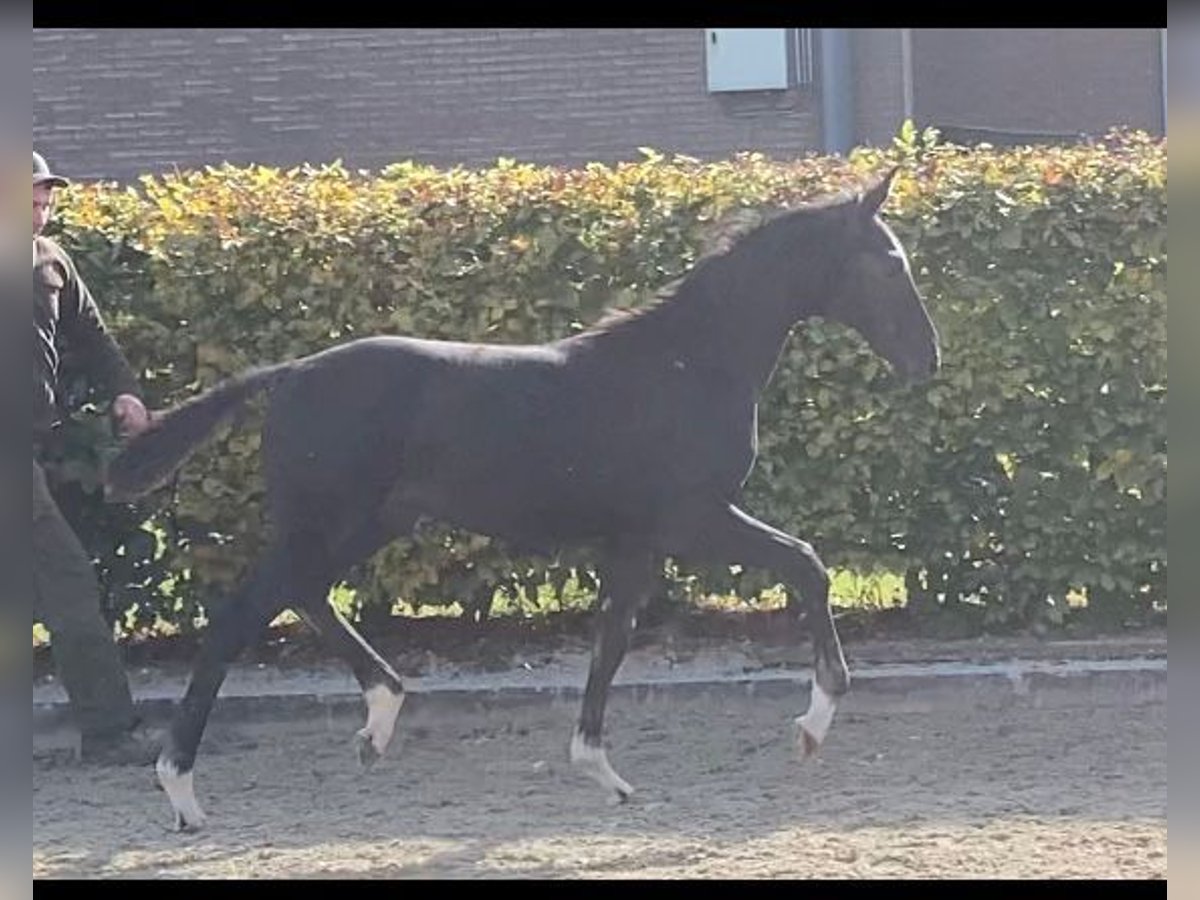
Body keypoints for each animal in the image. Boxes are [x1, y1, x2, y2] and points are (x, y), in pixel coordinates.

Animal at [105, 168, 936, 830]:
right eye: (889, 264)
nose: (928, 357)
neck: (686, 362)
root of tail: (288, 374)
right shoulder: (692, 518)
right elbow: (806, 565)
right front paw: (813, 723)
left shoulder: (635, 539)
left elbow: (612, 636)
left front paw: (602, 770)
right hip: (325, 522)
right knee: (239, 616)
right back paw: (182, 789)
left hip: (367, 522)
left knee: (301, 596)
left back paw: (379, 718)